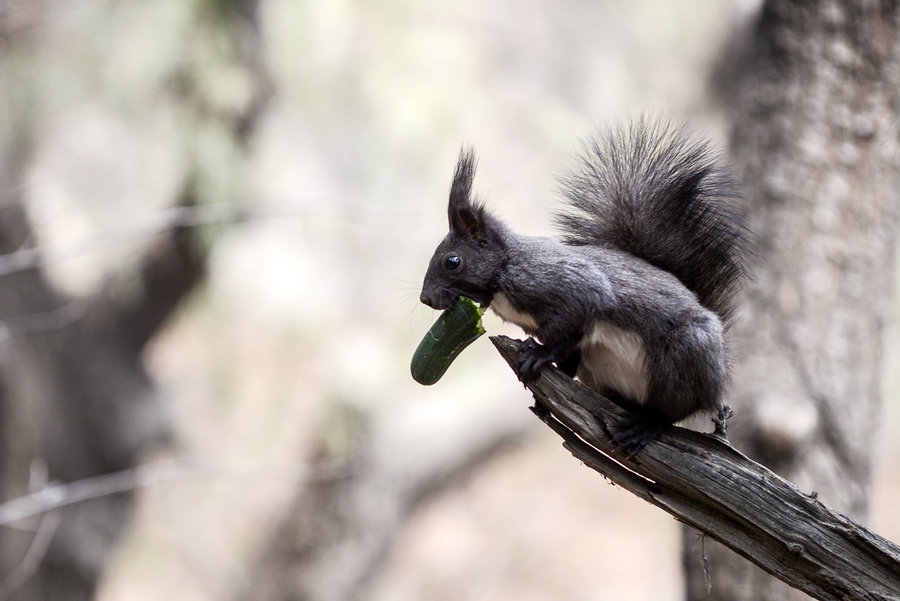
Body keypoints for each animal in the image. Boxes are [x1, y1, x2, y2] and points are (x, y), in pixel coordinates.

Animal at [420, 117, 752, 452]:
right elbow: (567, 355)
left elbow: (570, 332)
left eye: (452, 261)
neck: (504, 269)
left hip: (685, 357)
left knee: (675, 410)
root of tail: (720, 374)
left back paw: (646, 424)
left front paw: (539, 355)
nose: (426, 299)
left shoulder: (569, 289)